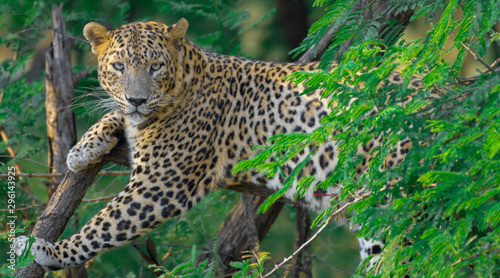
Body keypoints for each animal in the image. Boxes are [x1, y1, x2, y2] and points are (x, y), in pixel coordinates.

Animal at [13, 18, 416, 272]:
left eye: (156, 66)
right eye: (119, 66)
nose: (137, 99)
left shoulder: (161, 185)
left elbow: (101, 227)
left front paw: (47, 249)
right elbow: (115, 116)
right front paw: (82, 150)